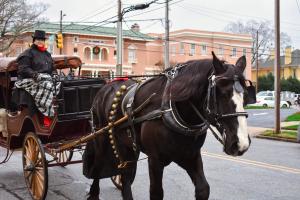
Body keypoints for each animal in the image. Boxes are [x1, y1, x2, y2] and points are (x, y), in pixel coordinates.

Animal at [84, 52, 253, 200]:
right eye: (222, 93)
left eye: (245, 94)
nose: (241, 143)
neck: (172, 109)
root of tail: (106, 87)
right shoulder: (155, 160)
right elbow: (156, 193)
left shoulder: (189, 155)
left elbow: (203, 189)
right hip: (102, 138)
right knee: (99, 168)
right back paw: (94, 192)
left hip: (129, 147)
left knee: (125, 176)